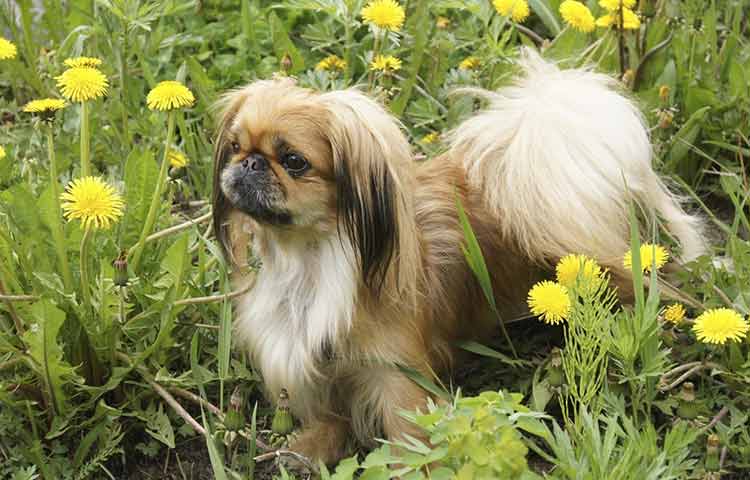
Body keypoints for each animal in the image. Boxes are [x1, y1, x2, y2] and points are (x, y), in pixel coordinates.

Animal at [210, 49, 704, 464]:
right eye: (235, 146)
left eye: (293, 161)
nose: (250, 163)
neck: (308, 259)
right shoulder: (305, 359)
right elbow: (329, 415)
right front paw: (312, 447)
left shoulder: (397, 378)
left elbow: (412, 441)